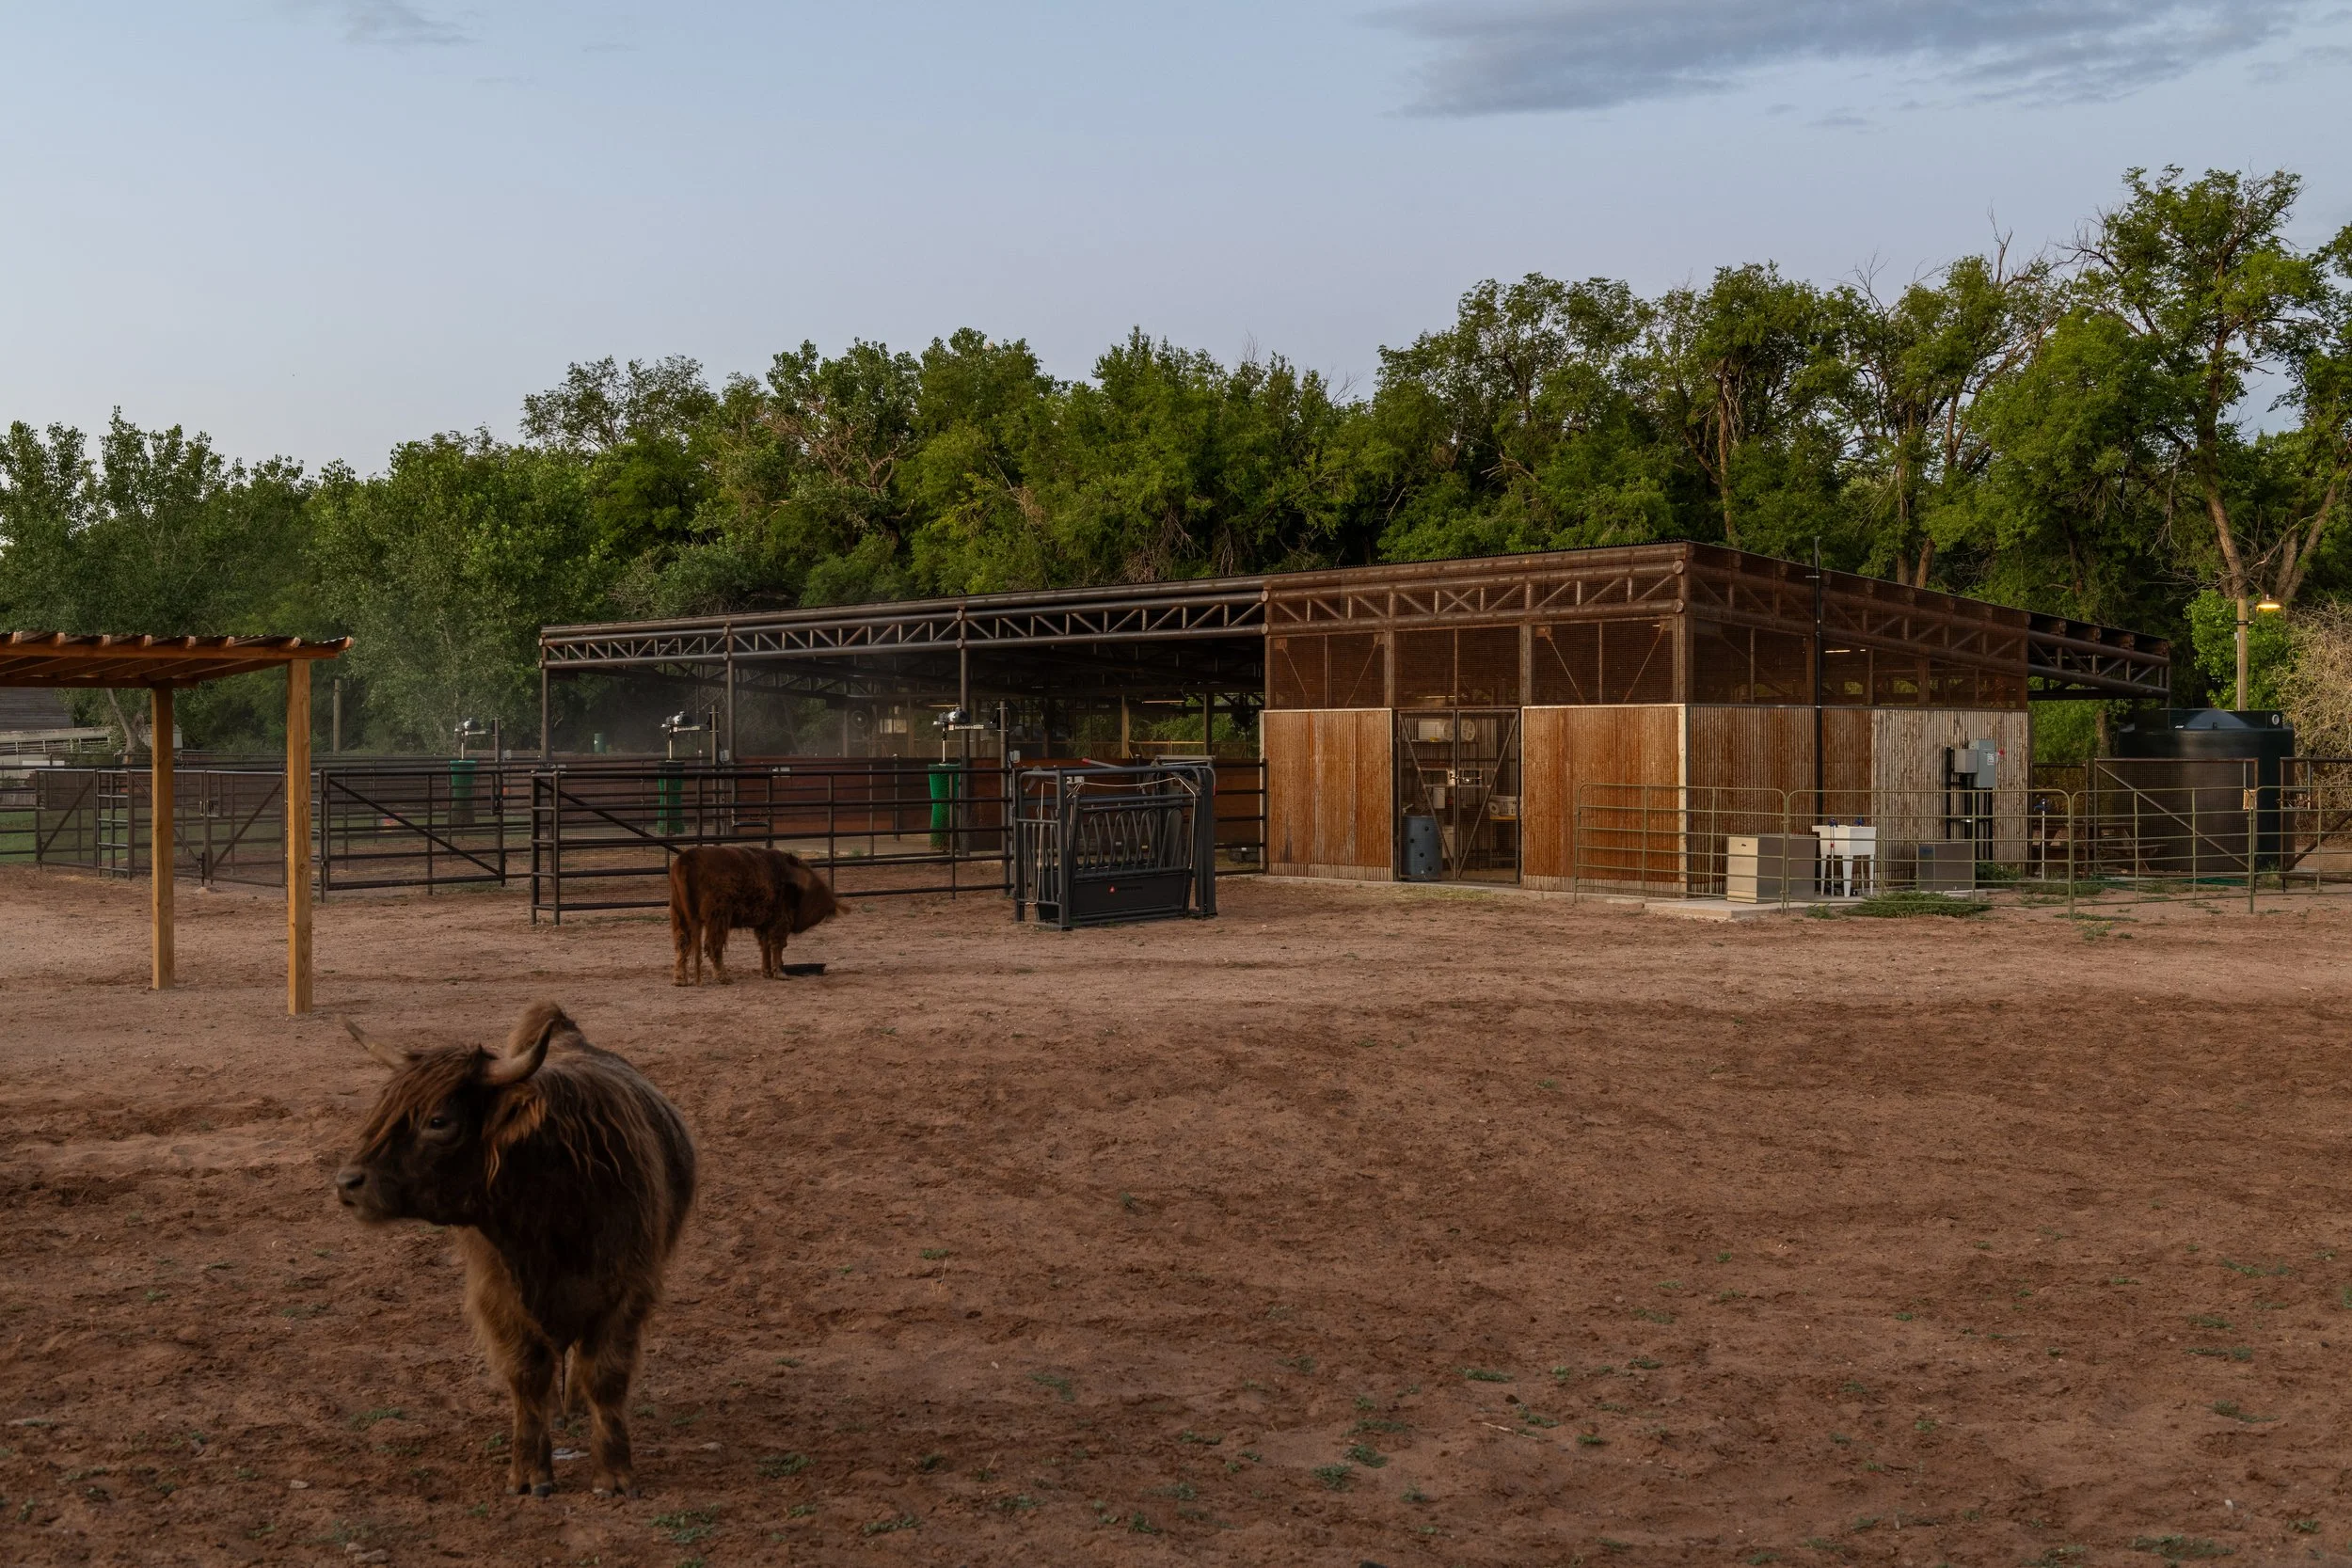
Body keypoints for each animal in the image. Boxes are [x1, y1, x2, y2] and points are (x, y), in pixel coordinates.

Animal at [333, 1003, 696, 1499]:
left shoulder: (627, 1291)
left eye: (438, 1121)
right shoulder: (498, 1296)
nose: (347, 1182)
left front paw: (615, 1474)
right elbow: (527, 1375)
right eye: (383, 1111)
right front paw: (529, 1473)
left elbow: (605, 1376)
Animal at [668, 844, 840, 986]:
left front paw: (767, 972)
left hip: (680, 915)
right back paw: (723, 976)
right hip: (718, 916)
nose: (831, 906)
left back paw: (680, 979)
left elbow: (765, 945)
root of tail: (687, 859)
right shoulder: (780, 921)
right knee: (713, 945)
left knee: (682, 943)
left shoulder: (764, 923)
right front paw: (780, 973)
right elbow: (777, 945)